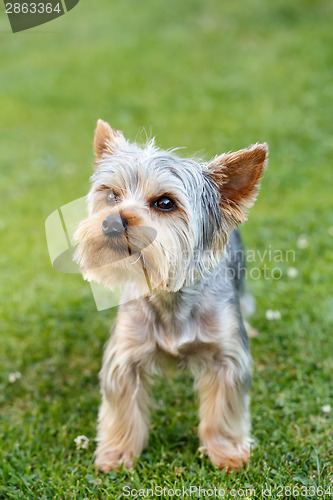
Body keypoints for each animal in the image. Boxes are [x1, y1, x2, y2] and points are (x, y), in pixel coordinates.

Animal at [73, 121, 268, 472]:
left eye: (165, 203)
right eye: (111, 194)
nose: (111, 222)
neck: (169, 294)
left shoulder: (226, 357)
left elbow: (224, 407)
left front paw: (227, 453)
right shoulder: (126, 354)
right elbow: (122, 406)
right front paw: (117, 453)